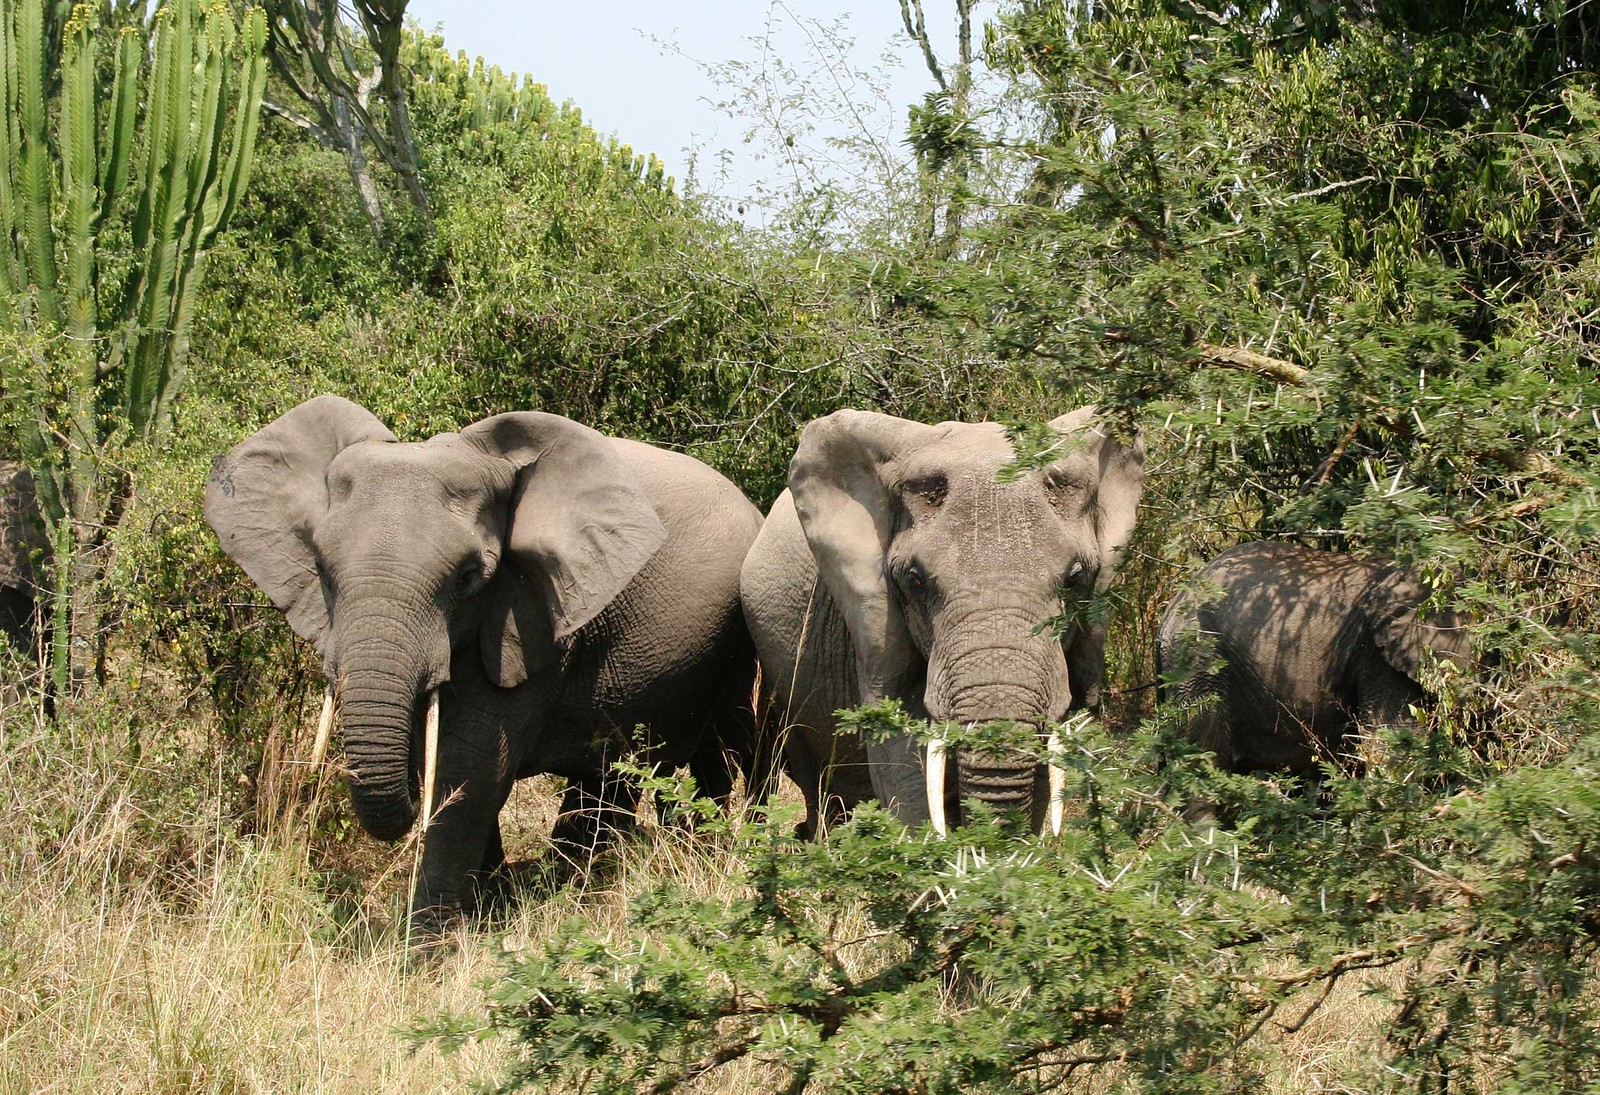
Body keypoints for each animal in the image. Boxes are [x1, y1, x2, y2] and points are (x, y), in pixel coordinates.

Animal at [205, 395, 767, 930]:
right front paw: (487, 915)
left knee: (725, 748)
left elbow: (468, 770)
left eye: (469, 577)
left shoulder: (534, 618)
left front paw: (430, 951)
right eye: (320, 570)